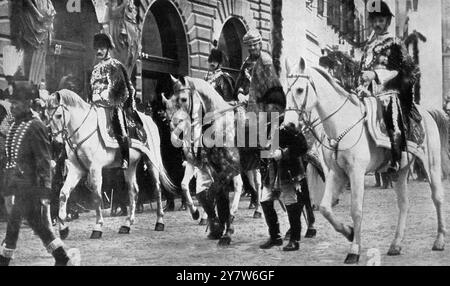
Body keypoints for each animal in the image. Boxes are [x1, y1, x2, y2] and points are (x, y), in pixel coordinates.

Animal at [45, 90, 172, 239]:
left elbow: (96, 196)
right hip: (130, 165)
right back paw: (127, 224)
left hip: (152, 161)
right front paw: (63, 229)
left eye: (59, 115)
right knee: (133, 191)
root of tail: (149, 120)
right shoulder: (76, 169)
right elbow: (63, 193)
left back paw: (159, 222)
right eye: (47, 116)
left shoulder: (95, 169)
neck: (83, 130)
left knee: (157, 189)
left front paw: (98, 227)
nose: (55, 143)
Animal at [286, 61, 448, 264]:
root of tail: (426, 112)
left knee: (438, 198)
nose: (288, 125)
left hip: (431, 165)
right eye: (285, 89)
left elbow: (356, 210)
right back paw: (395, 245)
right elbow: (325, 208)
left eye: (300, 89)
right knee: (404, 204)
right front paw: (348, 232)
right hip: (400, 172)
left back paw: (439, 241)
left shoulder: (356, 173)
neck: (343, 123)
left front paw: (354, 251)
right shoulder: (336, 173)